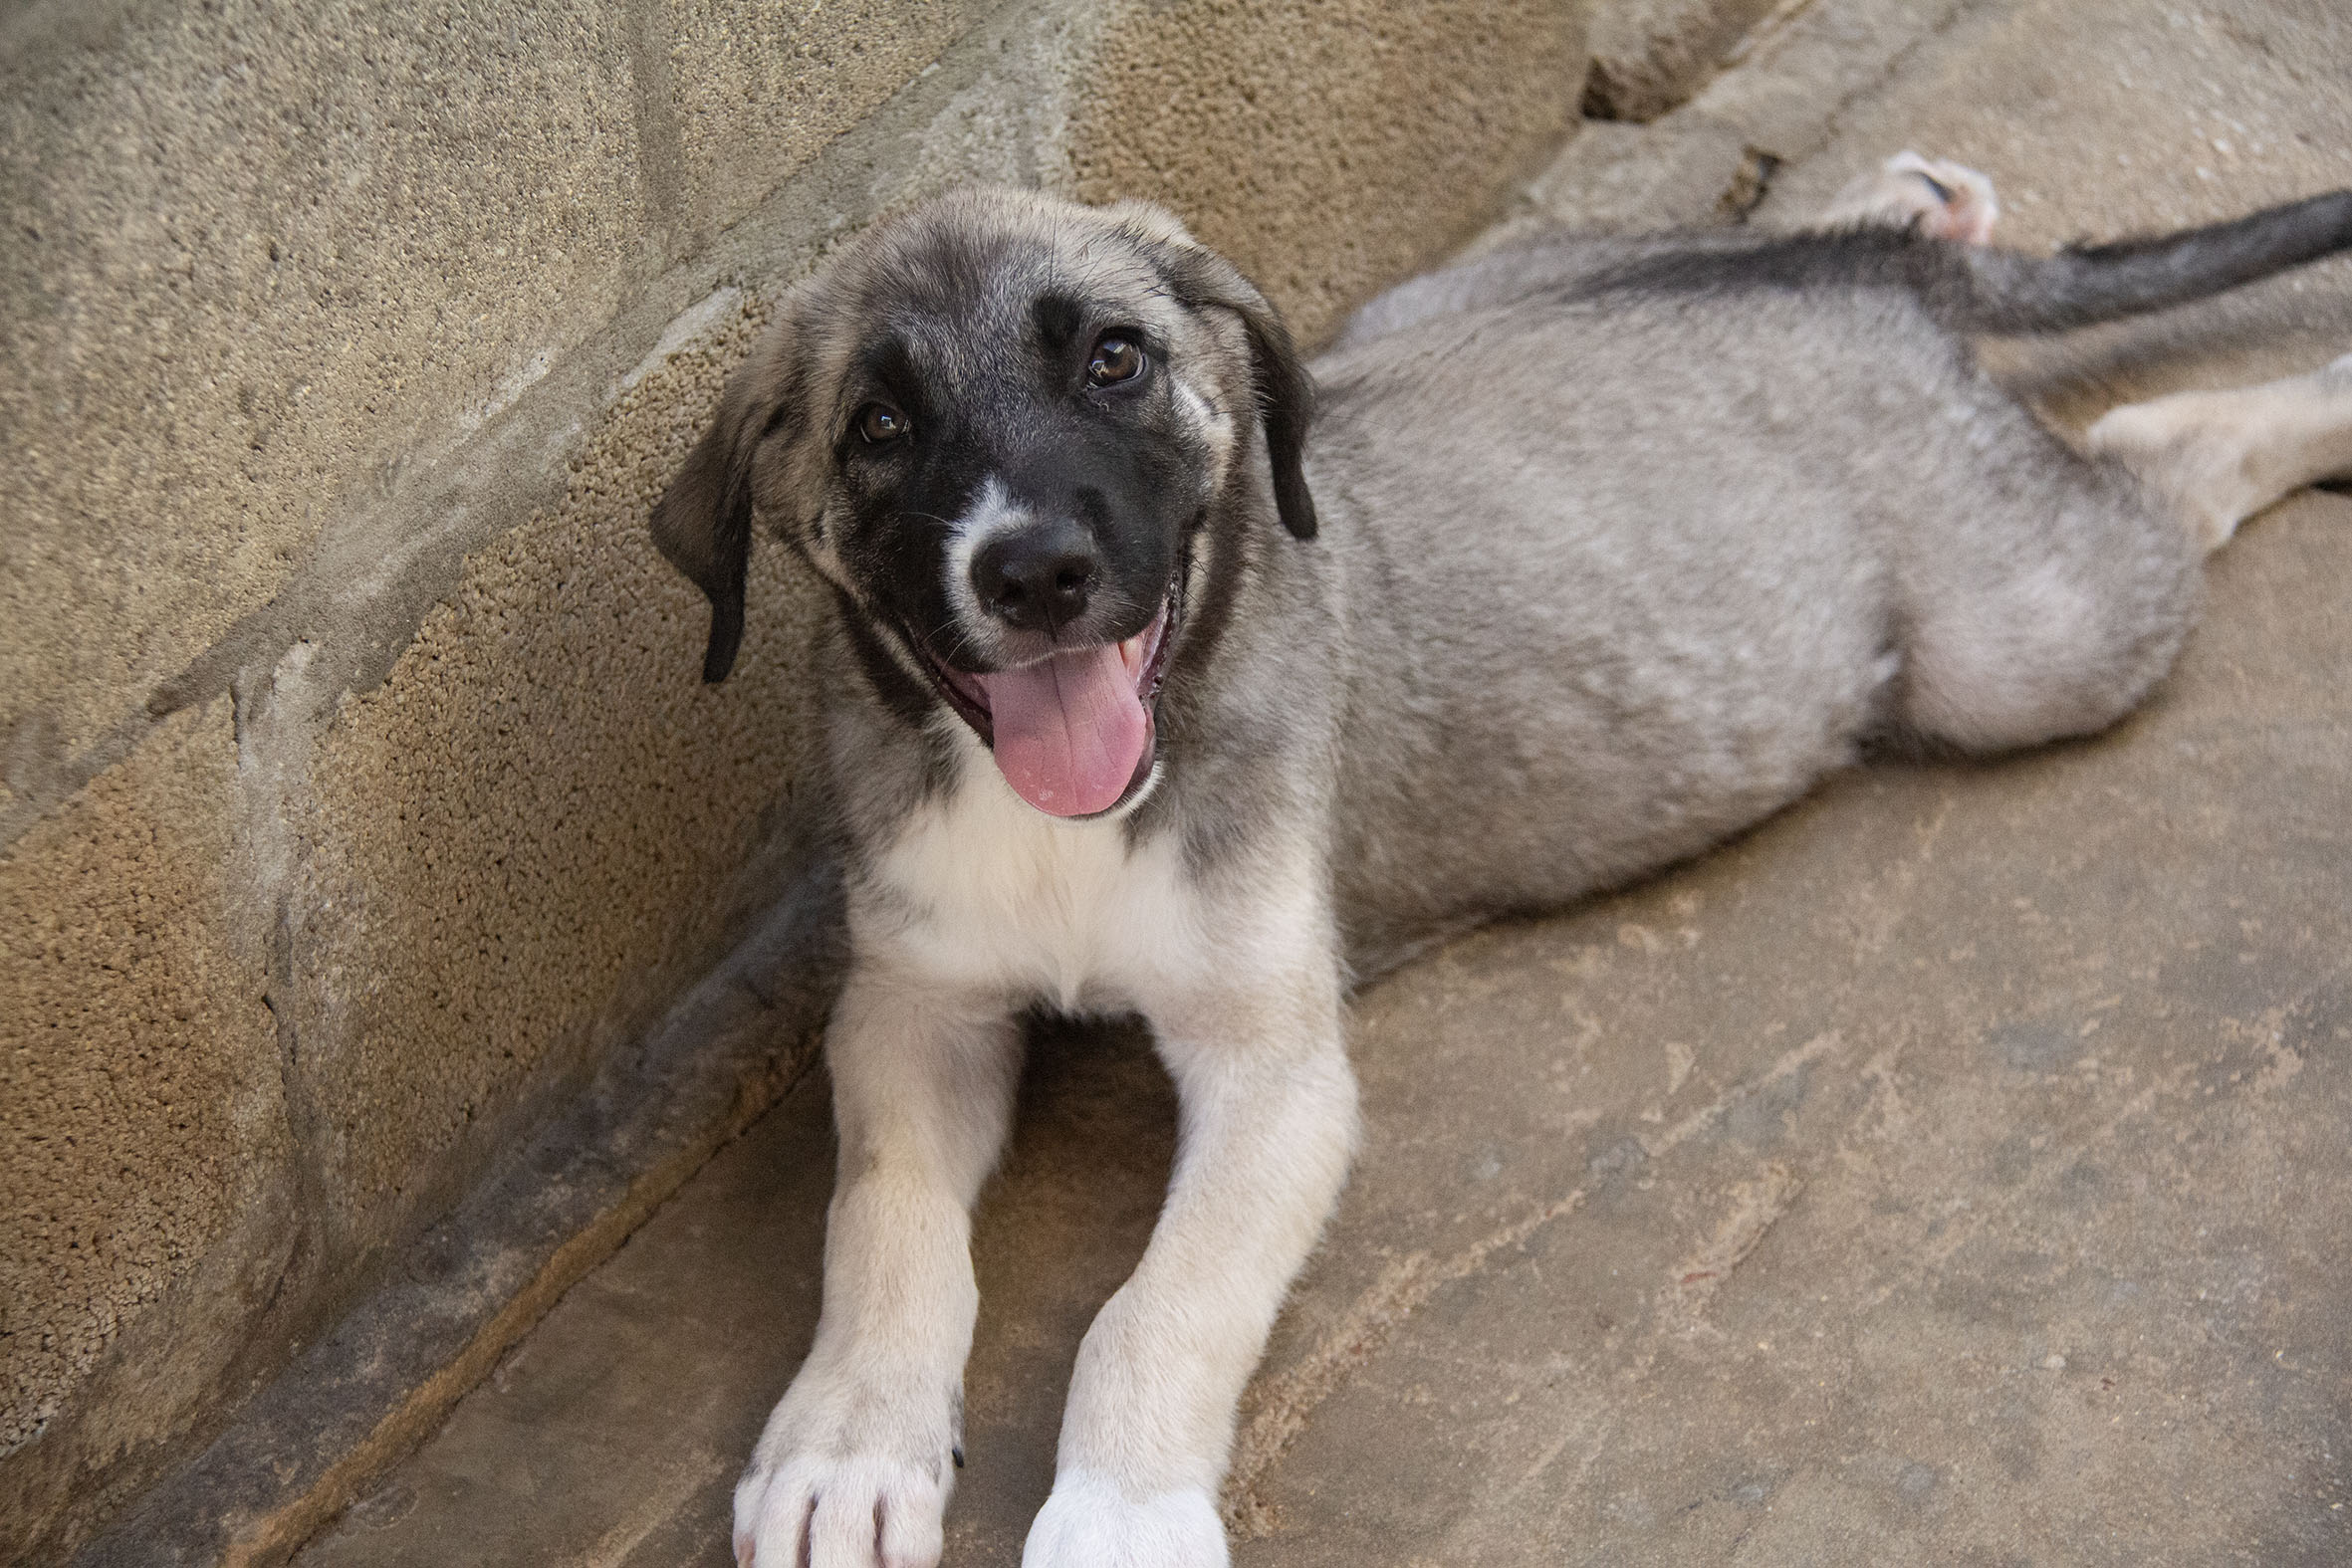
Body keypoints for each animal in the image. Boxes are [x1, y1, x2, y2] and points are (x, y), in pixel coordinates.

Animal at [649, 157, 2352, 1566]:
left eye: (1112, 361)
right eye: (878, 427)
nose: (1037, 574)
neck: (1069, 805)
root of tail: (1872, 296)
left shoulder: (1274, 1070)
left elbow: (1159, 1304)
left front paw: (1120, 1513)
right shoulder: (911, 1008)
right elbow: (885, 1221)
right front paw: (848, 1443)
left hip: (2025, 647)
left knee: (2159, 444)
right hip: (1427, 304)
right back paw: (1918, 202)